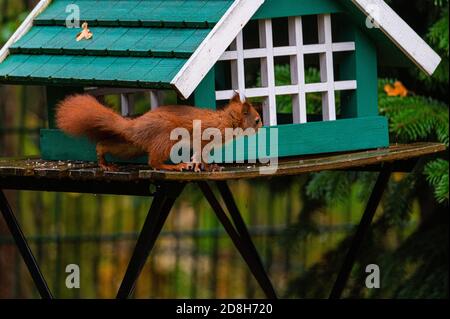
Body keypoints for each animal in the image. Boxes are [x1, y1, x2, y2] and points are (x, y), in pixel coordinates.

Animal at [55, 94, 262, 172]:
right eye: (257, 120)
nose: (262, 126)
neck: (227, 120)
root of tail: (134, 125)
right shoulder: (204, 136)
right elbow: (201, 153)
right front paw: (208, 166)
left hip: (131, 146)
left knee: (106, 145)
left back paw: (104, 162)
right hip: (167, 136)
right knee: (153, 162)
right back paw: (175, 167)